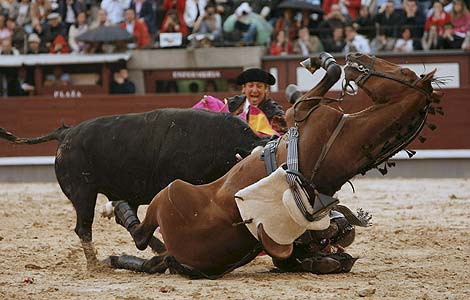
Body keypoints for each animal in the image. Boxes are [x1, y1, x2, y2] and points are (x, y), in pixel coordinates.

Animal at [0, 107, 268, 264]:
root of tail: (66, 133)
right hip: (83, 192)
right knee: (83, 227)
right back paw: (96, 265)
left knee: (122, 220)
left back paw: (155, 248)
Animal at [109, 52, 440, 278]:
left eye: (403, 70)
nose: (356, 56)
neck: (341, 137)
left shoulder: (302, 111)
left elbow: (329, 74)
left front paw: (317, 63)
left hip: (170, 190)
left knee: (142, 237)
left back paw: (122, 210)